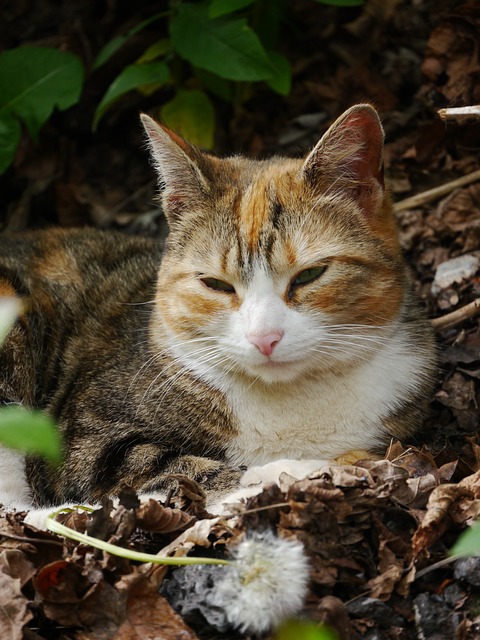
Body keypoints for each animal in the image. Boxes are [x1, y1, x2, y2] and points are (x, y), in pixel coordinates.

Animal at [0, 101, 436, 520]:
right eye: (216, 284)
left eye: (310, 275)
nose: (265, 338)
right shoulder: (84, 437)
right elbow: (173, 467)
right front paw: (287, 474)